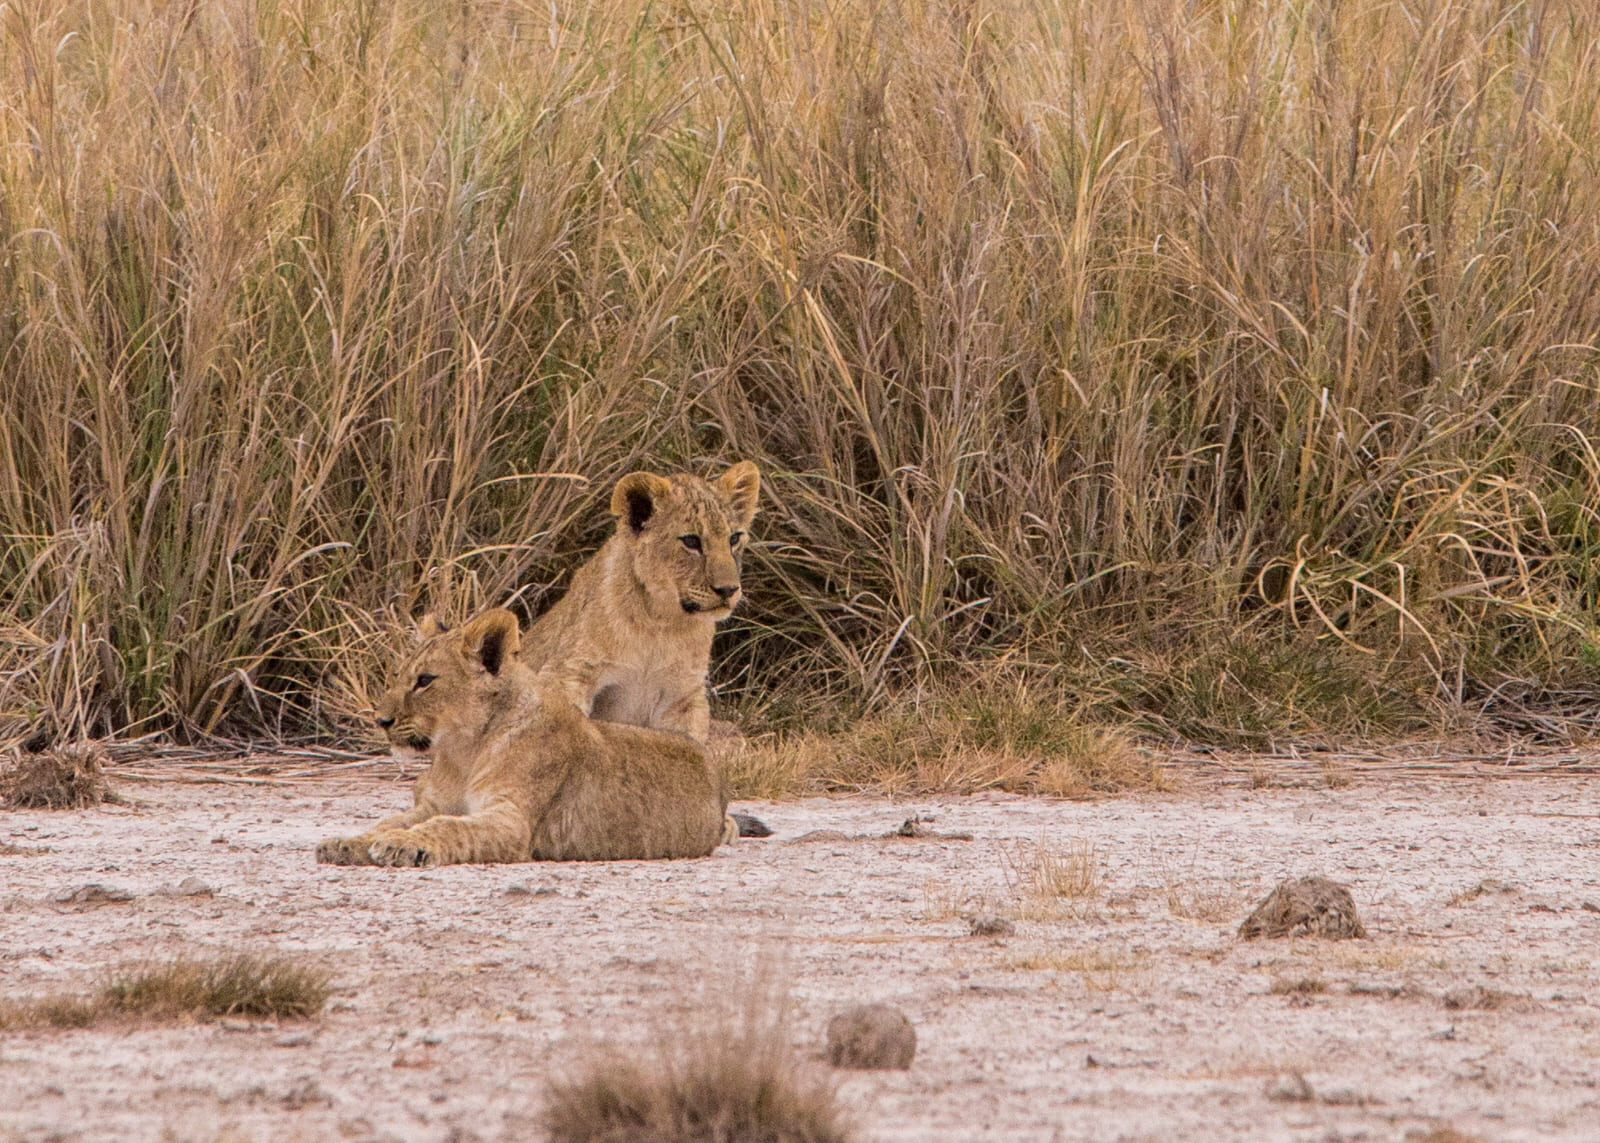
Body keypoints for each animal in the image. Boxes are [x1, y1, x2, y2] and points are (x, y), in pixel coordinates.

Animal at [316, 608, 731, 866]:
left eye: (425, 681)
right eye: (401, 676)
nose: (381, 720)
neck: (462, 751)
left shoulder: (512, 819)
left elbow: (448, 826)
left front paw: (403, 845)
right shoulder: (431, 804)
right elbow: (391, 821)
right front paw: (349, 842)